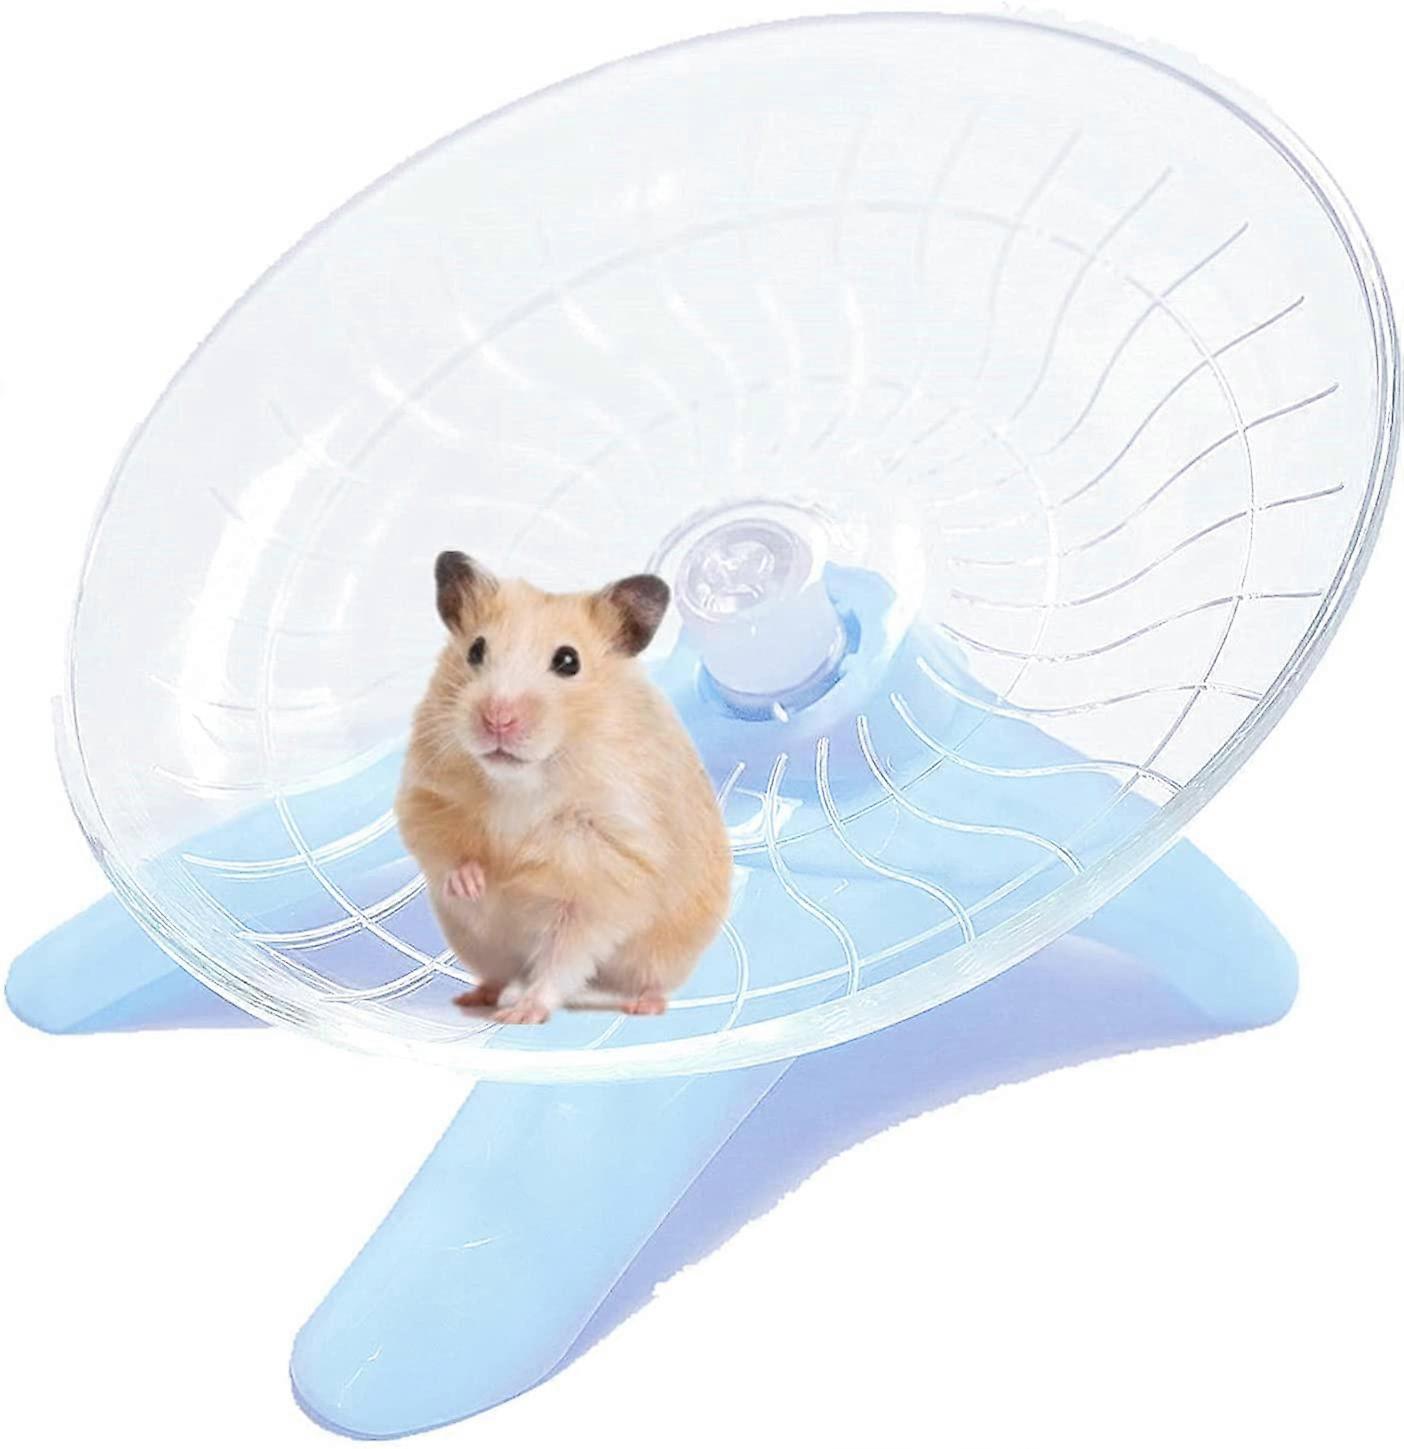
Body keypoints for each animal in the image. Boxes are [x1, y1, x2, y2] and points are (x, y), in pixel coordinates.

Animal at [394, 551, 733, 1025]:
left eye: (568, 661)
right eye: (476, 650)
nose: (497, 718)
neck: (522, 781)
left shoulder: (606, 873)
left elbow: (563, 955)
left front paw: (523, 1014)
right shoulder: (425, 795)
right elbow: (440, 845)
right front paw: (476, 882)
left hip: (664, 953)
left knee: (643, 980)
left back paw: (642, 1006)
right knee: (498, 973)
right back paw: (475, 998)